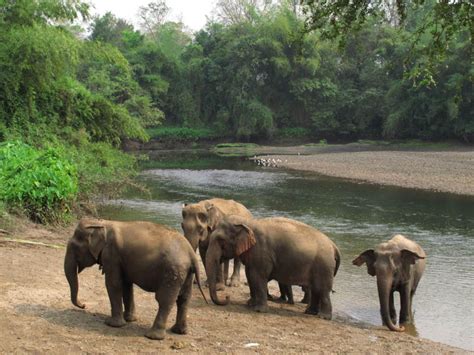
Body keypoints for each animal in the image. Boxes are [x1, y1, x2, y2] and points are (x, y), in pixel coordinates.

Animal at [64, 218, 206, 340]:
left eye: (75, 247)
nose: (84, 305)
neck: (102, 223)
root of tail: (191, 254)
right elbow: (126, 285)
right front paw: (130, 319)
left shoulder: (111, 255)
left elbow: (113, 284)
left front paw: (112, 324)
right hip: (186, 274)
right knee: (184, 299)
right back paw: (179, 331)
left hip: (172, 272)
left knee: (165, 300)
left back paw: (153, 336)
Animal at [206, 216, 340, 322]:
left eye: (221, 240)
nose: (227, 297)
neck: (248, 223)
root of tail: (334, 246)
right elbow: (250, 275)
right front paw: (250, 304)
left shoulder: (261, 252)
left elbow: (257, 276)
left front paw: (258, 310)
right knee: (317, 289)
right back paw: (310, 313)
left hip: (324, 266)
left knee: (322, 290)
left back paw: (323, 317)